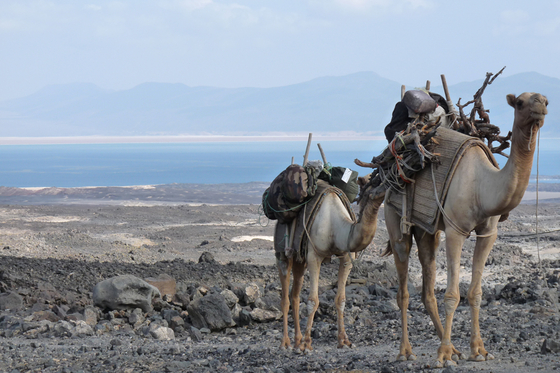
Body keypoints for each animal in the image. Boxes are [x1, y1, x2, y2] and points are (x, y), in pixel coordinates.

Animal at [276, 176, 384, 350]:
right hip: (283, 254)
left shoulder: (346, 258)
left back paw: (297, 340)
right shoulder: (314, 257)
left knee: (295, 295)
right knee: (285, 298)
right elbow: (313, 300)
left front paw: (344, 340)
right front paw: (307, 343)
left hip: (300, 259)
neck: (335, 226)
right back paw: (286, 343)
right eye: (374, 181)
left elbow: (341, 299)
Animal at [384, 92, 548, 366]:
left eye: (546, 101)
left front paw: (478, 350)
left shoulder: (488, 233)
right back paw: (406, 351)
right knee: (403, 286)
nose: (540, 106)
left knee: (427, 282)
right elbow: (452, 295)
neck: (482, 186)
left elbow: (475, 292)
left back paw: (453, 348)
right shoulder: (455, 231)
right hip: (393, 215)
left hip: (427, 229)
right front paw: (443, 355)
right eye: (520, 103)